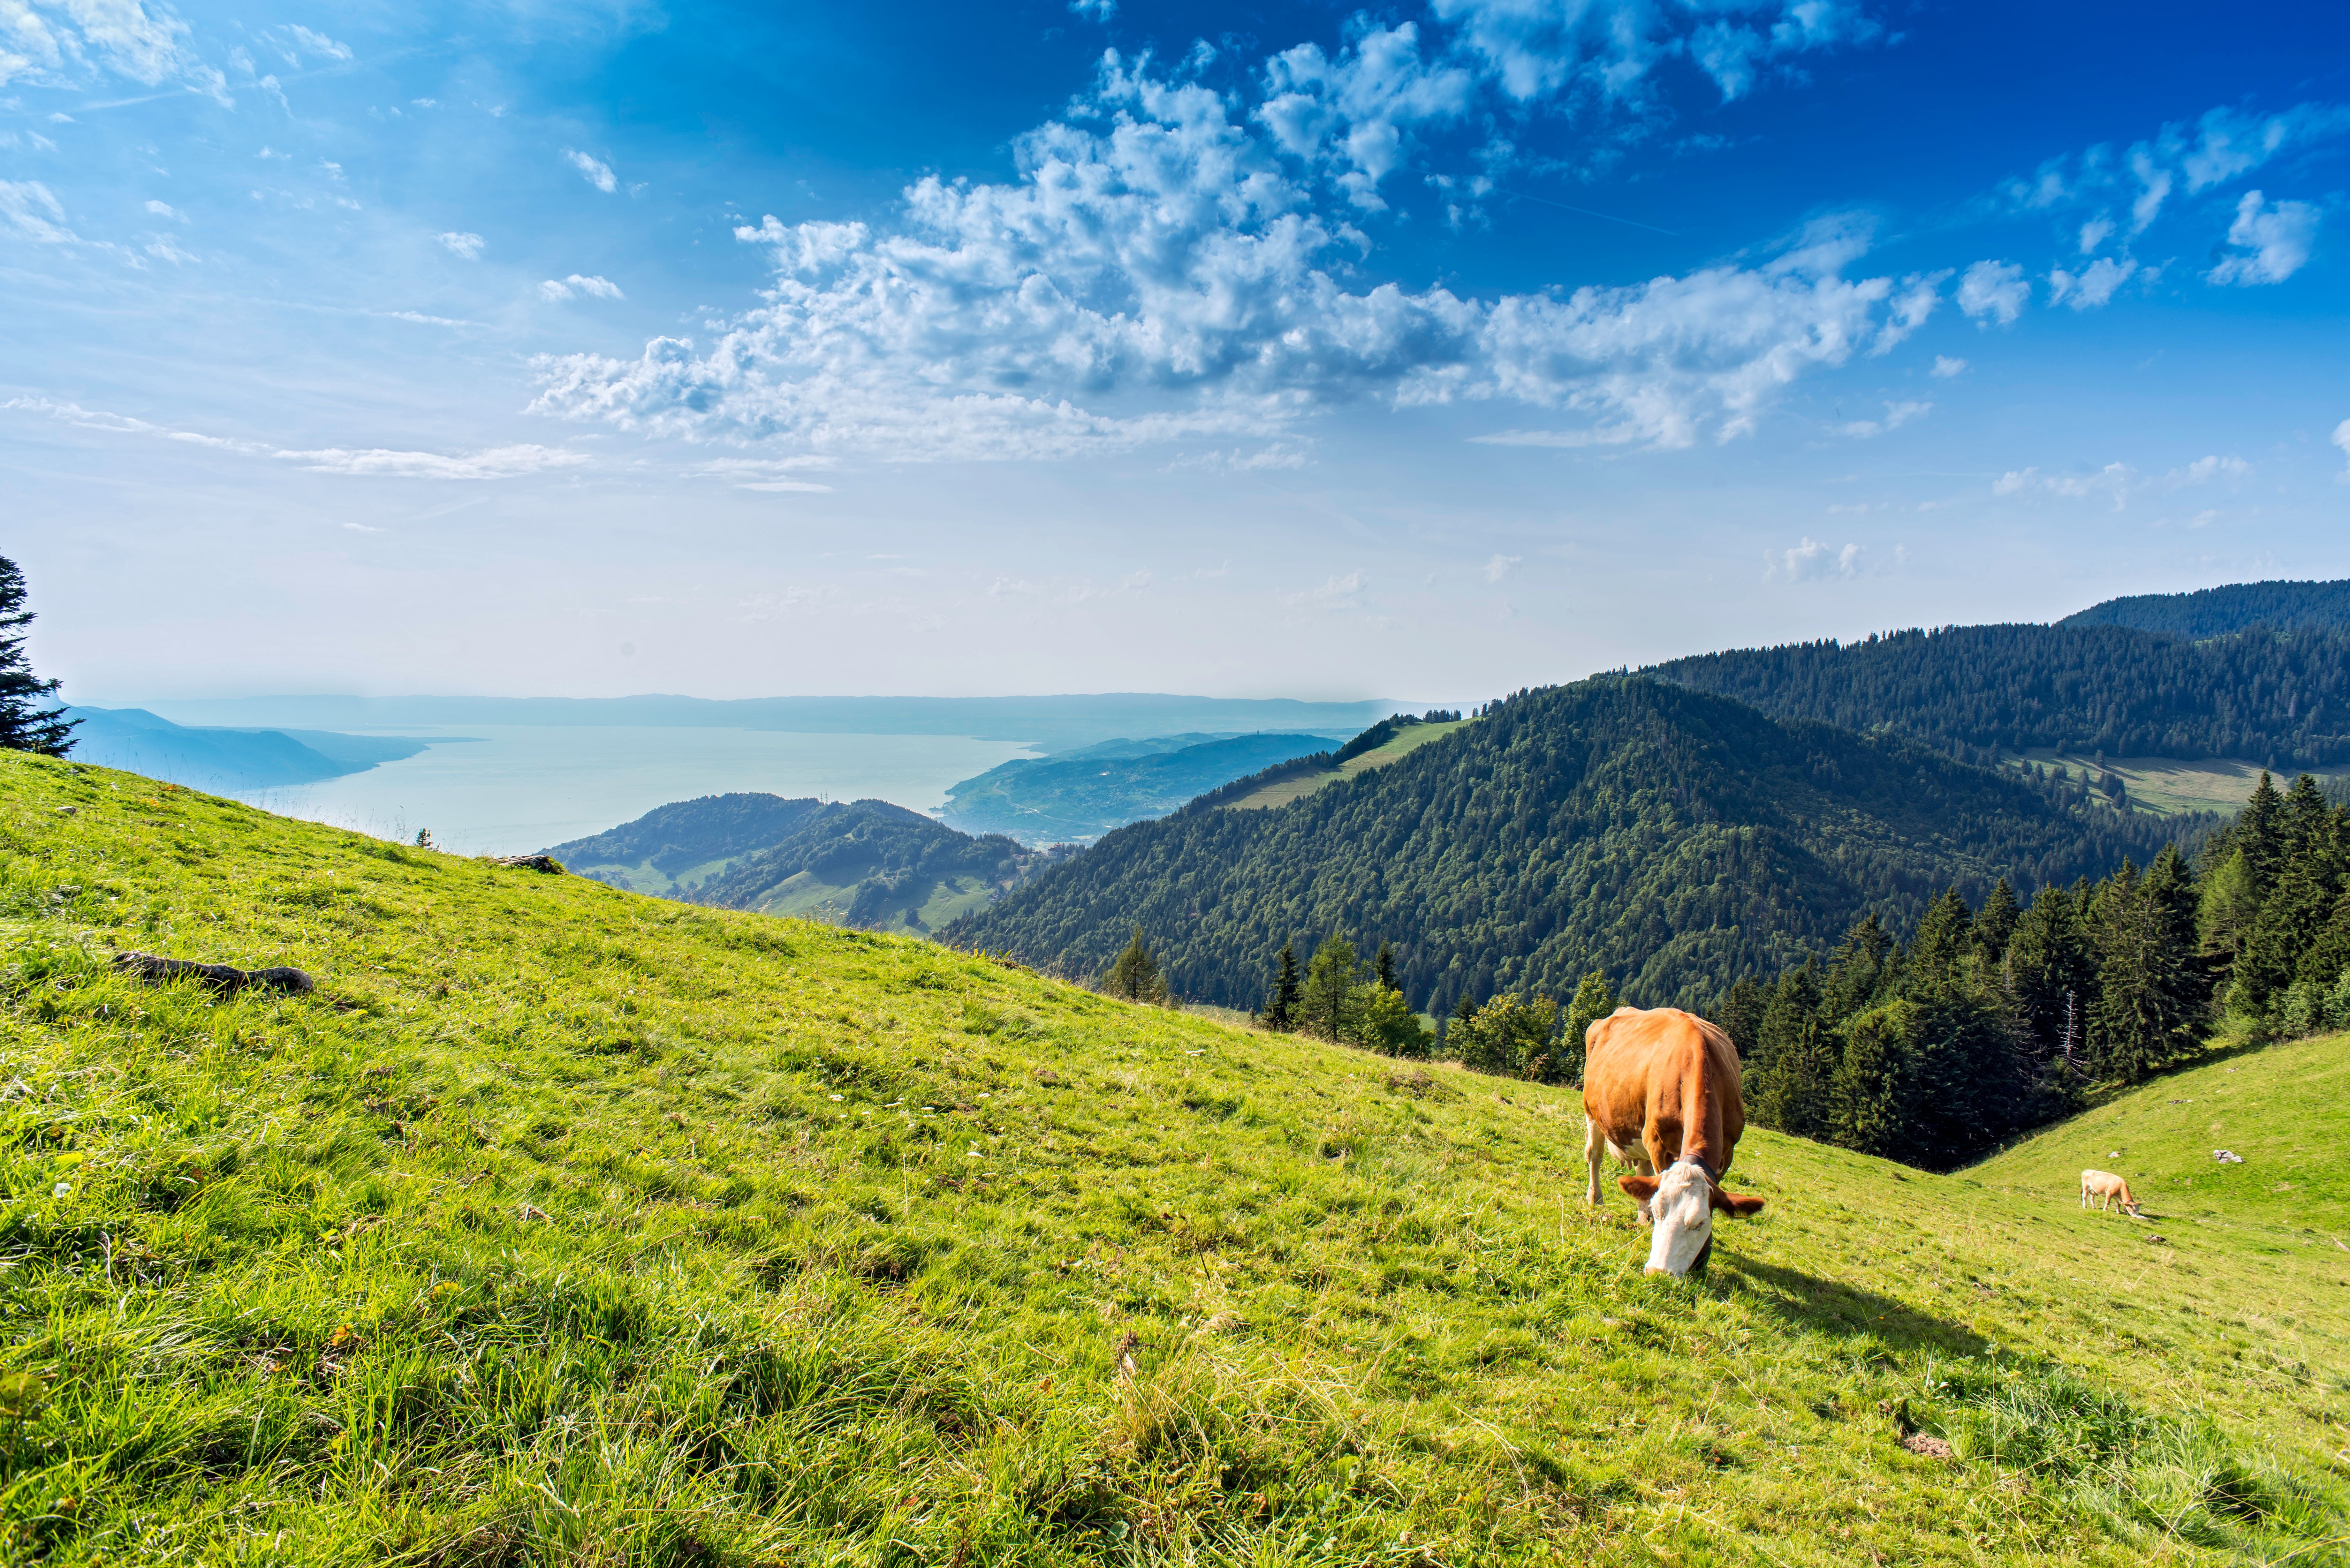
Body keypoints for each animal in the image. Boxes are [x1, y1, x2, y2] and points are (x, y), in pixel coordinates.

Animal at [1582, 1005, 1765, 1276]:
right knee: (1595, 1155)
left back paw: (1641, 1217)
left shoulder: (1727, 1152)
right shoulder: (1658, 1143)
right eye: (1660, 1213)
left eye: (1699, 1224)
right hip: (1592, 1112)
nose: (1658, 1272)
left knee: (1642, 1169)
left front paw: (1703, 1255)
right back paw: (1596, 1199)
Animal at [2080, 1169, 2142, 1216]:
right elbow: (2108, 1202)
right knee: (2085, 1197)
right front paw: (2105, 1209)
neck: (2120, 1187)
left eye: (2138, 1210)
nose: (2137, 1216)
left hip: (2093, 1191)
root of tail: (2087, 1170)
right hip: (2086, 1187)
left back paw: (2094, 1207)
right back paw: (2085, 1207)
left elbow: (2119, 1204)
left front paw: (2118, 1212)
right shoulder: (2109, 1193)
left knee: (2092, 1198)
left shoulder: (2117, 1197)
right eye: (2134, 1210)